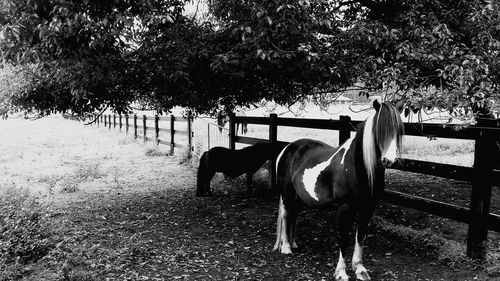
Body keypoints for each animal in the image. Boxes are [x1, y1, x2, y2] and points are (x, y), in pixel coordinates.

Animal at [272, 99, 404, 278]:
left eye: (398, 130)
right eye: (380, 129)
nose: (389, 160)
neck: (357, 168)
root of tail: (287, 148)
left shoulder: (368, 208)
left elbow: (360, 237)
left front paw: (360, 269)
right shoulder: (345, 208)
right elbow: (343, 238)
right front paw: (341, 273)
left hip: (299, 197)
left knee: (294, 215)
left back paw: (293, 244)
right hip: (287, 194)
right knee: (286, 215)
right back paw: (285, 247)